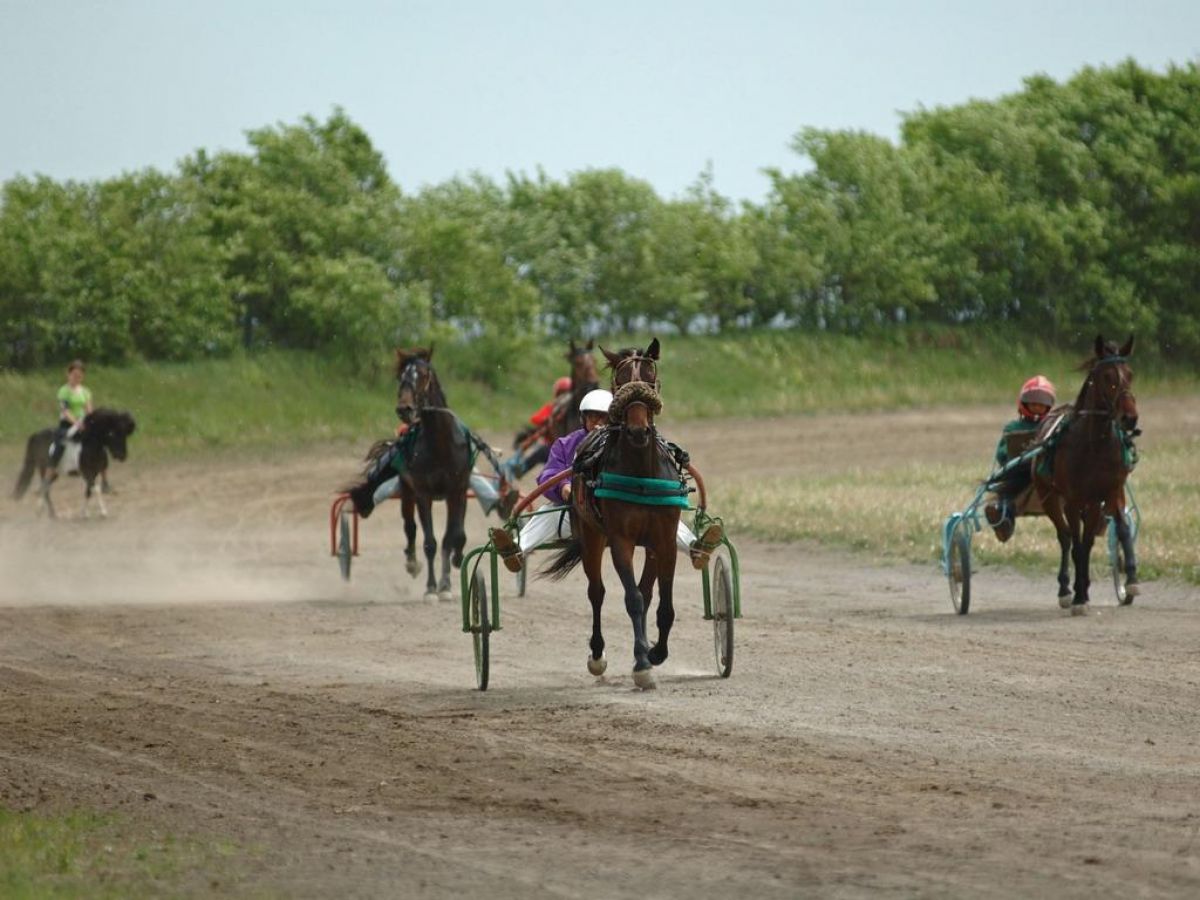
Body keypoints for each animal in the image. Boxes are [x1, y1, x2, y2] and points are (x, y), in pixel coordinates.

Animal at [544, 338, 685, 689]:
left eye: (649, 378)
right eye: (620, 382)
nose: (637, 430)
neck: (641, 471)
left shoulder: (663, 540)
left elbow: (662, 604)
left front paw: (655, 652)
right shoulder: (620, 540)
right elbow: (631, 599)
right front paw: (642, 665)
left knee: (646, 593)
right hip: (591, 536)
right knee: (597, 592)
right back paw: (597, 655)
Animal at [1034, 335, 1139, 612]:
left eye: (1130, 374)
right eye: (1106, 376)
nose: (1130, 418)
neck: (1094, 446)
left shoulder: (1109, 493)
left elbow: (1117, 530)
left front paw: (1130, 580)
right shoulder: (1072, 499)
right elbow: (1076, 545)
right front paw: (1078, 597)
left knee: (1086, 540)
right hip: (1049, 497)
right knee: (1066, 537)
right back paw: (1066, 590)